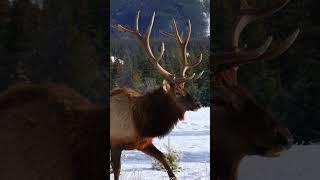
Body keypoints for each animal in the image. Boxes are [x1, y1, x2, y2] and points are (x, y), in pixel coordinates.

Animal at [111, 11, 204, 180]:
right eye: (178, 92)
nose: (198, 104)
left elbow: (163, 158)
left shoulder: (143, 143)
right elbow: (117, 170)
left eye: (185, 89)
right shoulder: (115, 142)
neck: (141, 122)